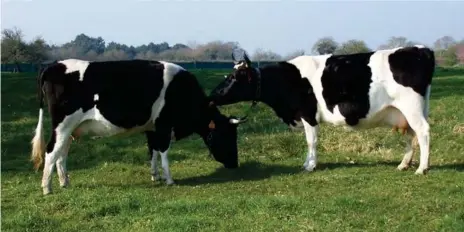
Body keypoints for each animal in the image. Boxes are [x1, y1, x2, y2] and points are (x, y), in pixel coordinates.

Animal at [29, 59, 246, 195]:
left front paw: (155, 176)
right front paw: (169, 179)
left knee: (61, 153)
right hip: (63, 124)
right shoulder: (163, 125)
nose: (235, 164)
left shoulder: (152, 128)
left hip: (71, 128)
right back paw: (46, 188)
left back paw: (64, 182)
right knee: (51, 151)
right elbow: (164, 152)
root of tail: (53, 65)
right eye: (226, 135)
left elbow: (153, 151)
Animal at [209, 46, 436, 175]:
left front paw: (310, 165)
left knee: (423, 131)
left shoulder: (308, 114)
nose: (211, 95)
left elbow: (311, 141)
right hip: (406, 111)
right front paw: (307, 164)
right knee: (411, 135)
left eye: (233, 78)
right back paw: (404, 164)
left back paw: (421, 168)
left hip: (411, 106)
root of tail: (421, 49)